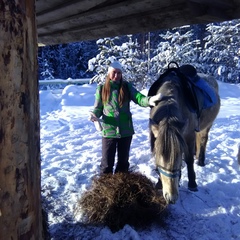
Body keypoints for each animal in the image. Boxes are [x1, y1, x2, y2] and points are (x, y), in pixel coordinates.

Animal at [149, 62, 220, 203]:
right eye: (159, 156)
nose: (171, 197)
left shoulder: (188, 136)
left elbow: (188, 159)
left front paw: (192, 183)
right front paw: (159, 182)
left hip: (206, 126)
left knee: (203, 140)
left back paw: (201, 161)